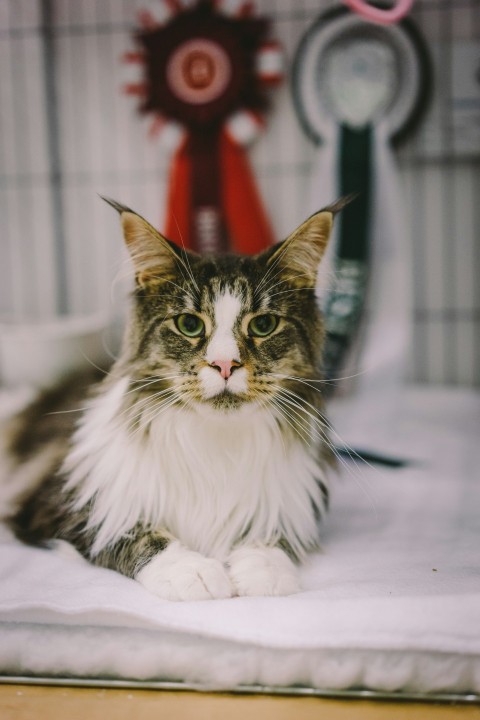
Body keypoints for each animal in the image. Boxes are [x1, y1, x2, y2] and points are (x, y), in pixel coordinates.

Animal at [1, 197, 344, 600]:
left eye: (263, 325)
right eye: (189, 325)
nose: (225, 364)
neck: (217, 446)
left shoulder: (291, 506)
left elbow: (271, 535)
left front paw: (264, 569)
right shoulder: (60, 505)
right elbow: (133, 533)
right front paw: (192, 571)